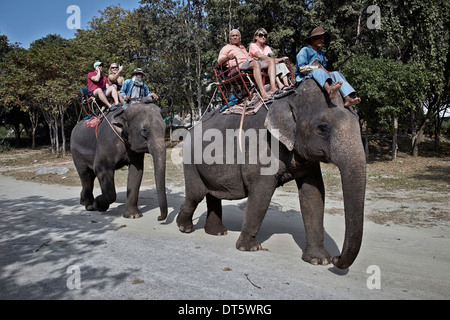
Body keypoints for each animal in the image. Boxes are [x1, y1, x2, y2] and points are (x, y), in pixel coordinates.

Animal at [176, 79, 366, 268]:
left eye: (358, 122)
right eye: (322, 128)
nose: (337, 258)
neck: (290, 97)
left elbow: (313, 194)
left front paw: (319, 260)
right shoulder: (262, 148)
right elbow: (262, 192)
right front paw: (249, 248)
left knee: (212, 194)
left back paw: (217, 233)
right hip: (190, 161)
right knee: (196, 194)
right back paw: (184, 227)